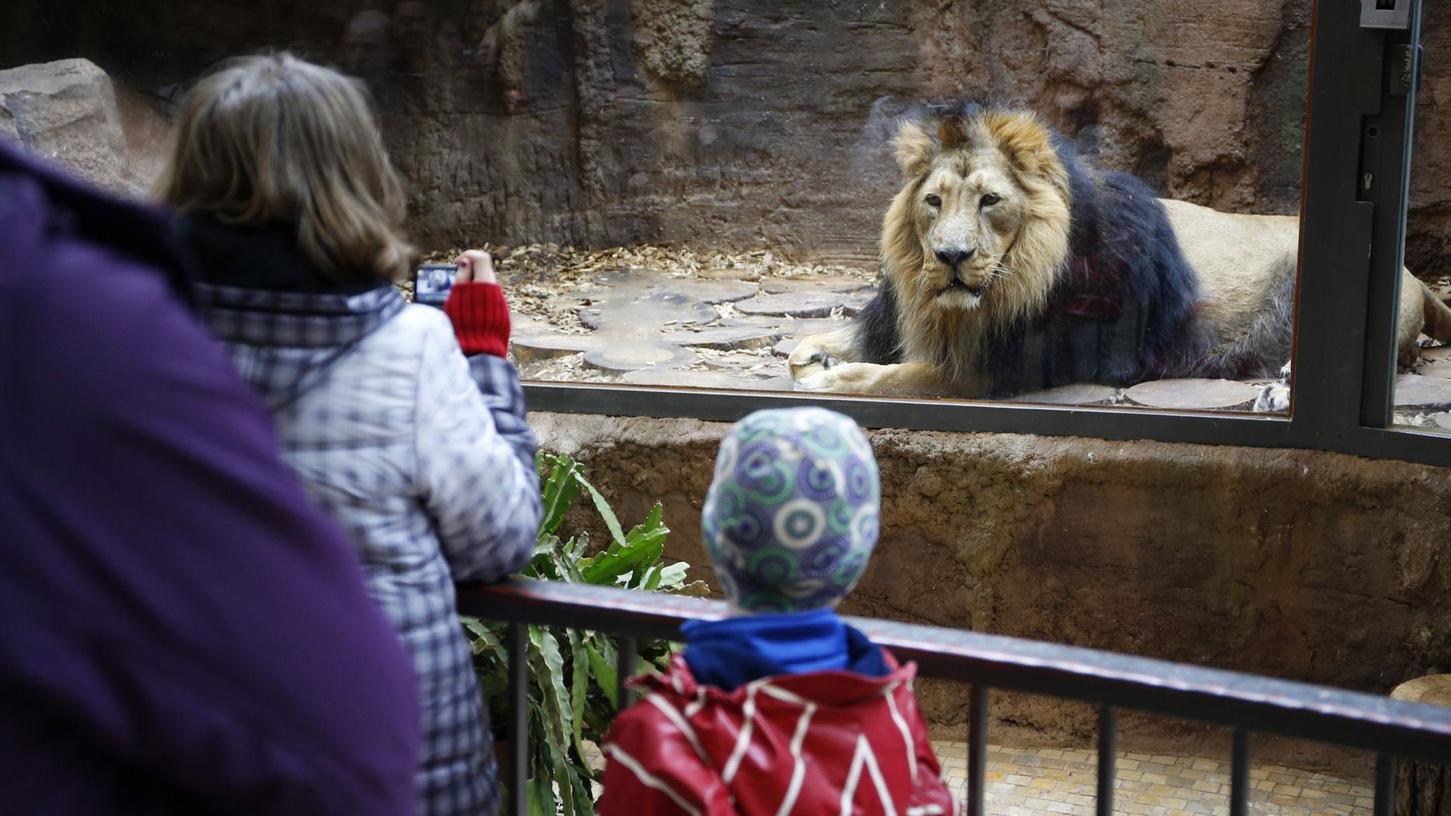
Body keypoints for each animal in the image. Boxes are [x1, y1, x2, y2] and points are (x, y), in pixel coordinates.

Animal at [795, 107, 1451, 400]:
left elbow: (910, 376)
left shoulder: (1021, 363)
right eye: (934, 201)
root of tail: (1416, 277)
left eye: (990, 201)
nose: (952, 256)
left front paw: (836, 378)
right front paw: (810, 351)